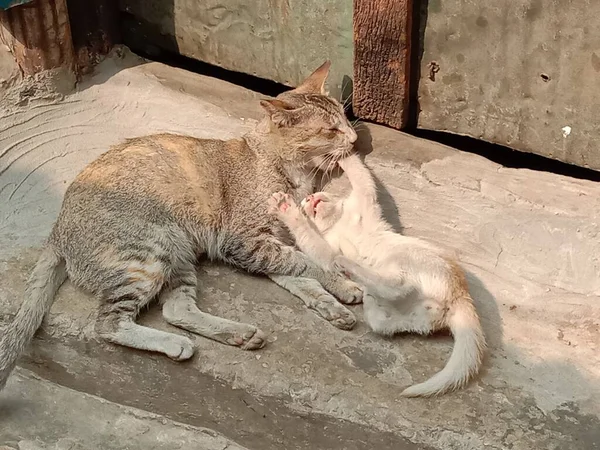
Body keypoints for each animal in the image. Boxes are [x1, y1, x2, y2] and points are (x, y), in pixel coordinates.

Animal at [0, 60, 360, 390]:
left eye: (344, 119)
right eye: (330, 130)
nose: (355, 137)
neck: (292, 172)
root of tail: (57, 231)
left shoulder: (266, 246)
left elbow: (301, 276)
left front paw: (331, 304)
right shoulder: (244, 242)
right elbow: (307, 266)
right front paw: (342, 285)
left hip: (179, 253)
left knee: (176, 310)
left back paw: (239, 334)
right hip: (150, 252)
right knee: (108, 323)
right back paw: (176, 343)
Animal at [270, 155, 486, 398]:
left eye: (312, 196)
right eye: (305, 203)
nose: (308, 198)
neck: (337, 223)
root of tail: (460, 297)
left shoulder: (364, 202)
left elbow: (360, 176)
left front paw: (343, 153)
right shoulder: (327, 251)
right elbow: (315, 243)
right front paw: (287, 209)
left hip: (410, 258)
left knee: (397, 285)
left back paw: (354, 267)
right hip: (409, 308)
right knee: (394, 296)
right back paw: (364, 287)